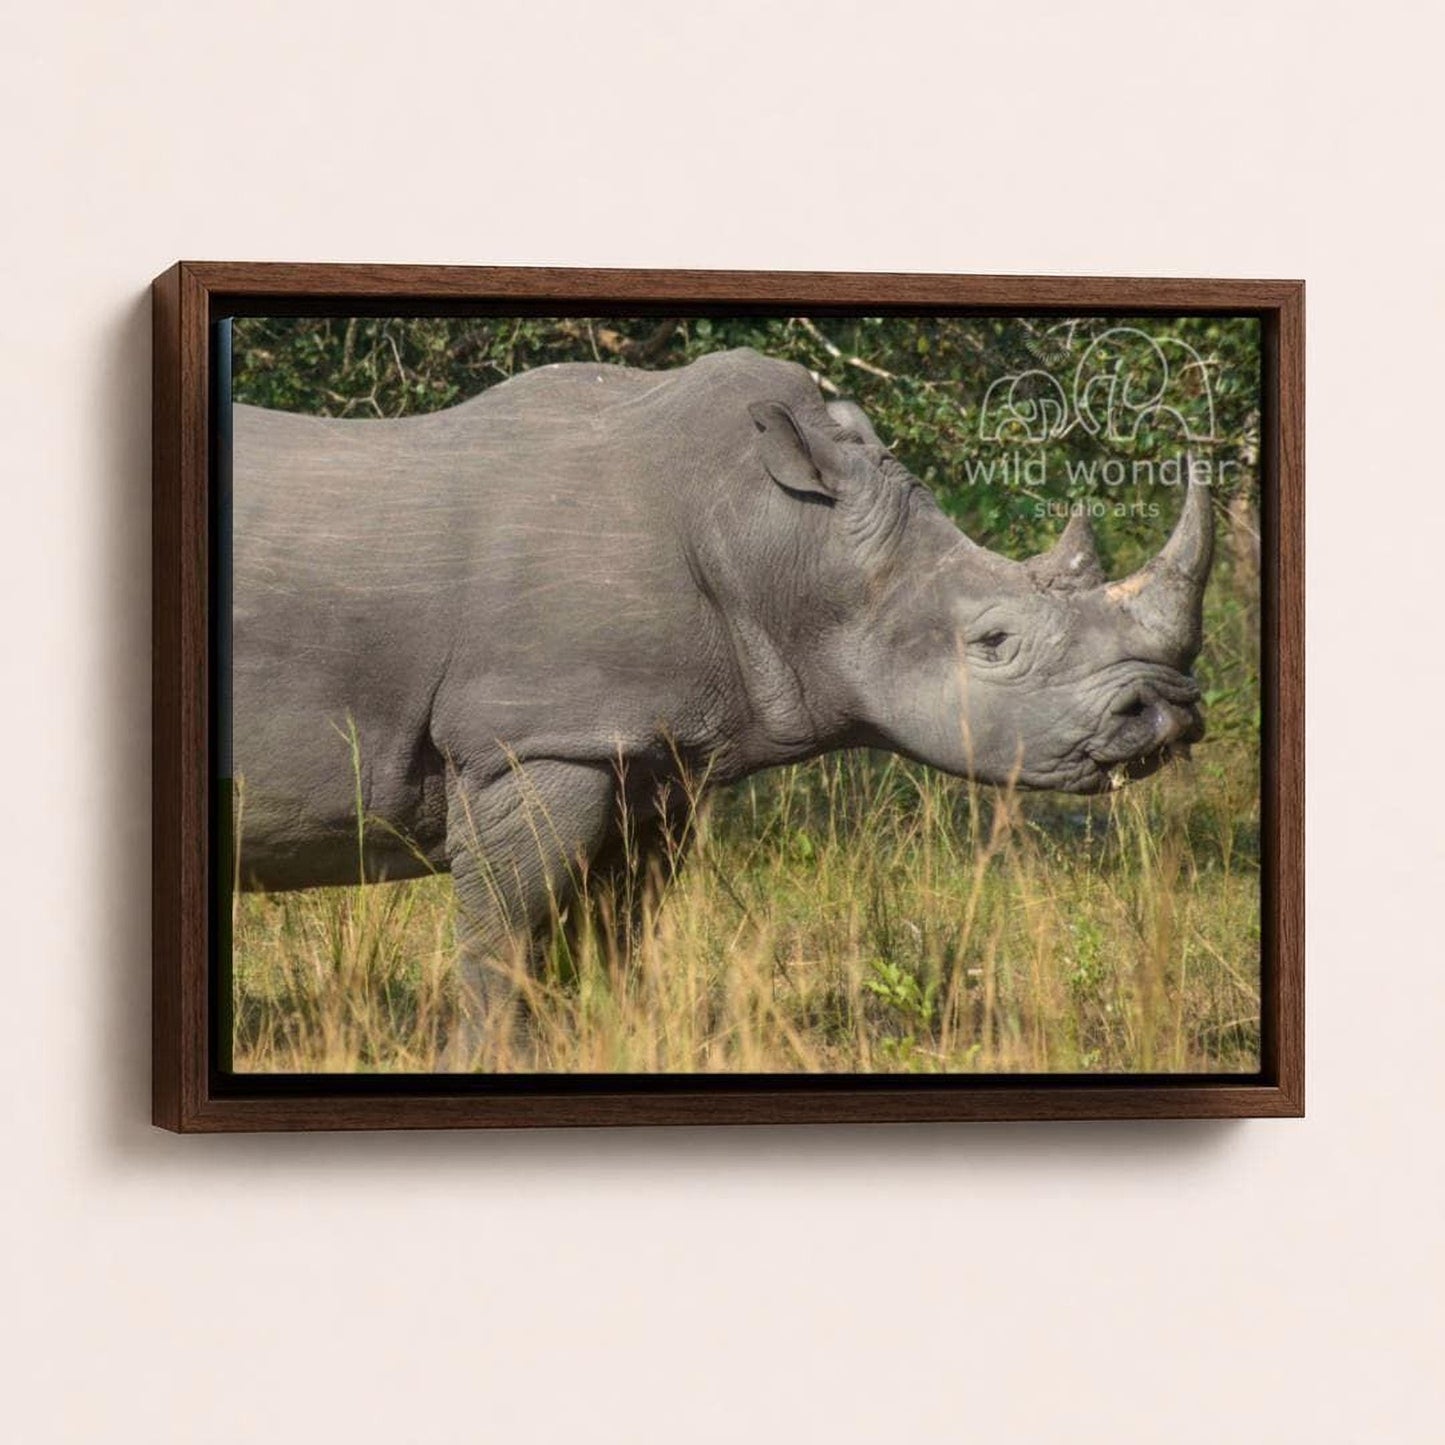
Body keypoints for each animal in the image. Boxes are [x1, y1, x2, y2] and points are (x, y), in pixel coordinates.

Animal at [232, 347, 1211, 1054]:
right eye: (994, 642)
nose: (1166, 711)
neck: (778, 535)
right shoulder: (537, 735)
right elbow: (504, 929)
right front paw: (486, 1060)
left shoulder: (648, 752)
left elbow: (609, 928)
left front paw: (599, 1043)